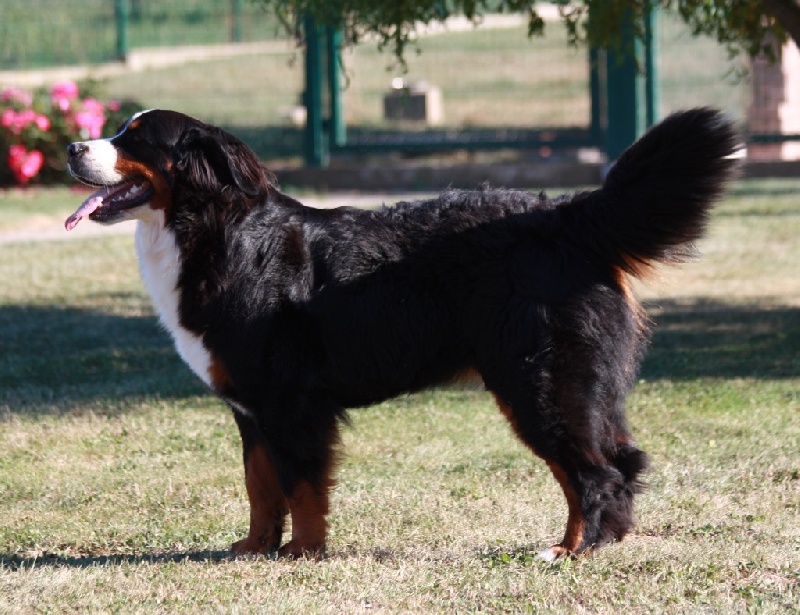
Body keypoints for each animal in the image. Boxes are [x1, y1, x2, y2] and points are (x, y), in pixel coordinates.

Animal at [65, 108, 739, 560]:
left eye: (133, 139)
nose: (71, 147)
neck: (214, 231)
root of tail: (566, 217)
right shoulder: (252, 409)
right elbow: (261, 486)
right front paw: (255, 548)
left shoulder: (290, 404)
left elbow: (301, 487)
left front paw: (302, 553)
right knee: (606, 464)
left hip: (541, 385)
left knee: (597, 471)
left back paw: (573, 550)